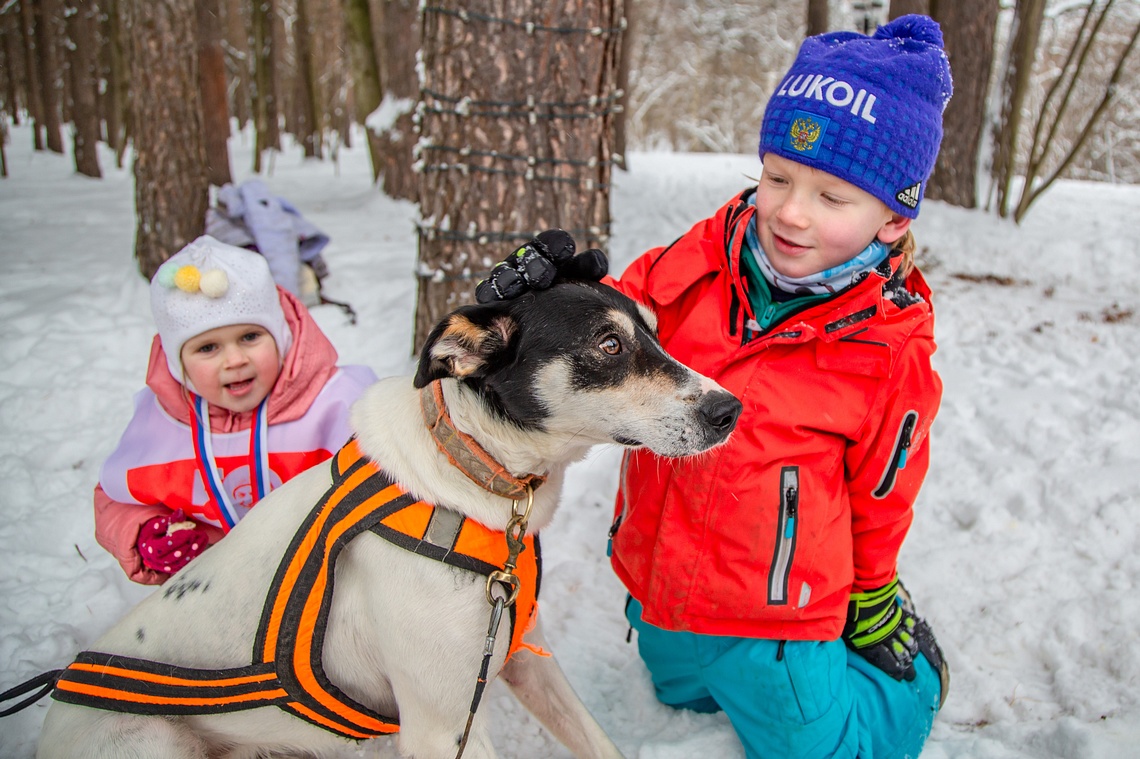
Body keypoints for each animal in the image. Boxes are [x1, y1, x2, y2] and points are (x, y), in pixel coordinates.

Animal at [35, 279, 743, 756]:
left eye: (653, 333)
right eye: (609, 344)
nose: (729, 409)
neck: (469, 473)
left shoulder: (524, 660)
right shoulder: (444, 725)